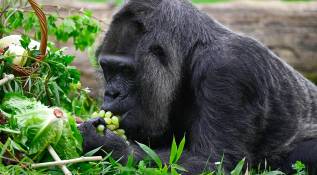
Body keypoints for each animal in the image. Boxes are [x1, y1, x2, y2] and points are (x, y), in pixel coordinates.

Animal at [79, 0, 316, 173]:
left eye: (127, 71)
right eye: (108, 69)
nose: (111, 93)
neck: (190, 53)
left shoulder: (229, 68)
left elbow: (215, 161)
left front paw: (109, 145)